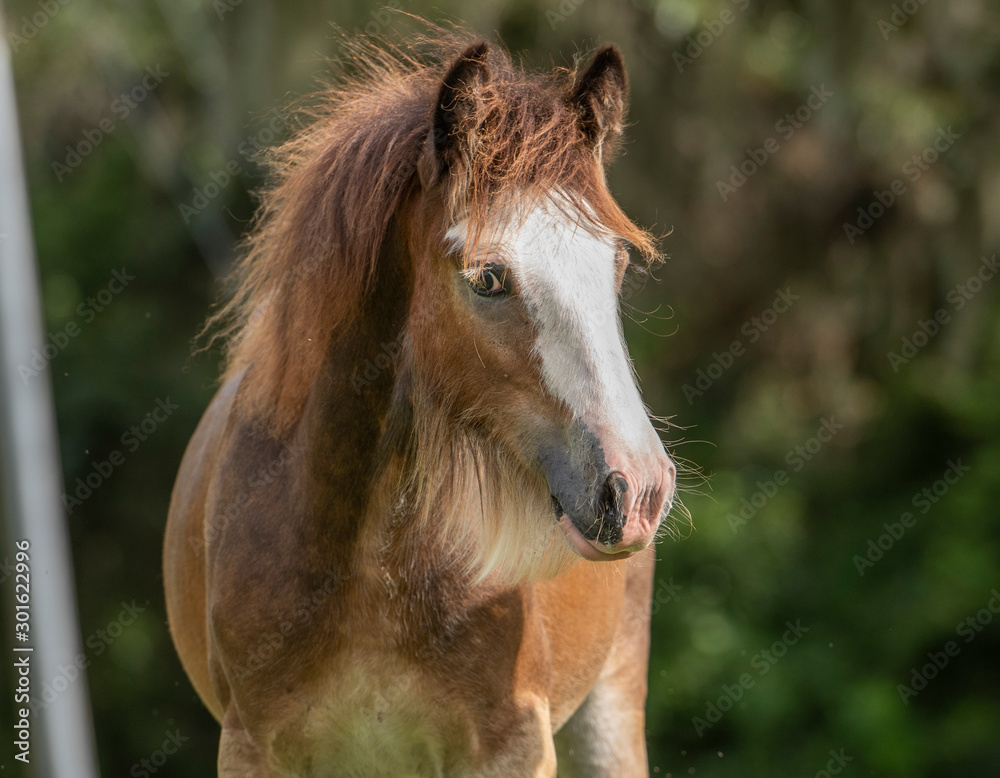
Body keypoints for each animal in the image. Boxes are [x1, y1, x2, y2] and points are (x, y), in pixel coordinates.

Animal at [164, 32, 678, 777]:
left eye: (618, 265)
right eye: (488, 278)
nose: (634, 487)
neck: (368, 566)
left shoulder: (511, 748)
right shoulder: (253, 751)